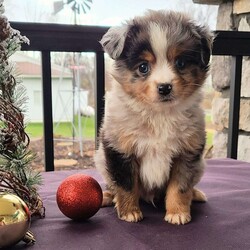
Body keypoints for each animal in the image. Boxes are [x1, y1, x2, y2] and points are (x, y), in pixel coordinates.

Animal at [94, 9, 212, 225]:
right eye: (143, 67)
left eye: (180, 63)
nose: (165, 88)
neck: (159, 115)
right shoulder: (120, 148)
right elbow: (125, 184)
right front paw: (129, 212)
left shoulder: (188, 151)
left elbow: (180, 186)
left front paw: (177, 213)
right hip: (101, 160)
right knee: (112, 184)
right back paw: (107, 196)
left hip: (200, 165)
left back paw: (196, 194)